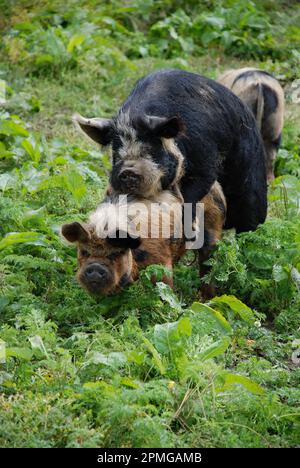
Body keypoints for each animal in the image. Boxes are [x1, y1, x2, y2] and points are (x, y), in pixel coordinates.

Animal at [73, 68, 268, 234]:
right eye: (116, 152)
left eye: (151, 149)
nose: (128, 171)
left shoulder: (205, 160)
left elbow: (193, 191)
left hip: (252, 175)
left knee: (251, 213)